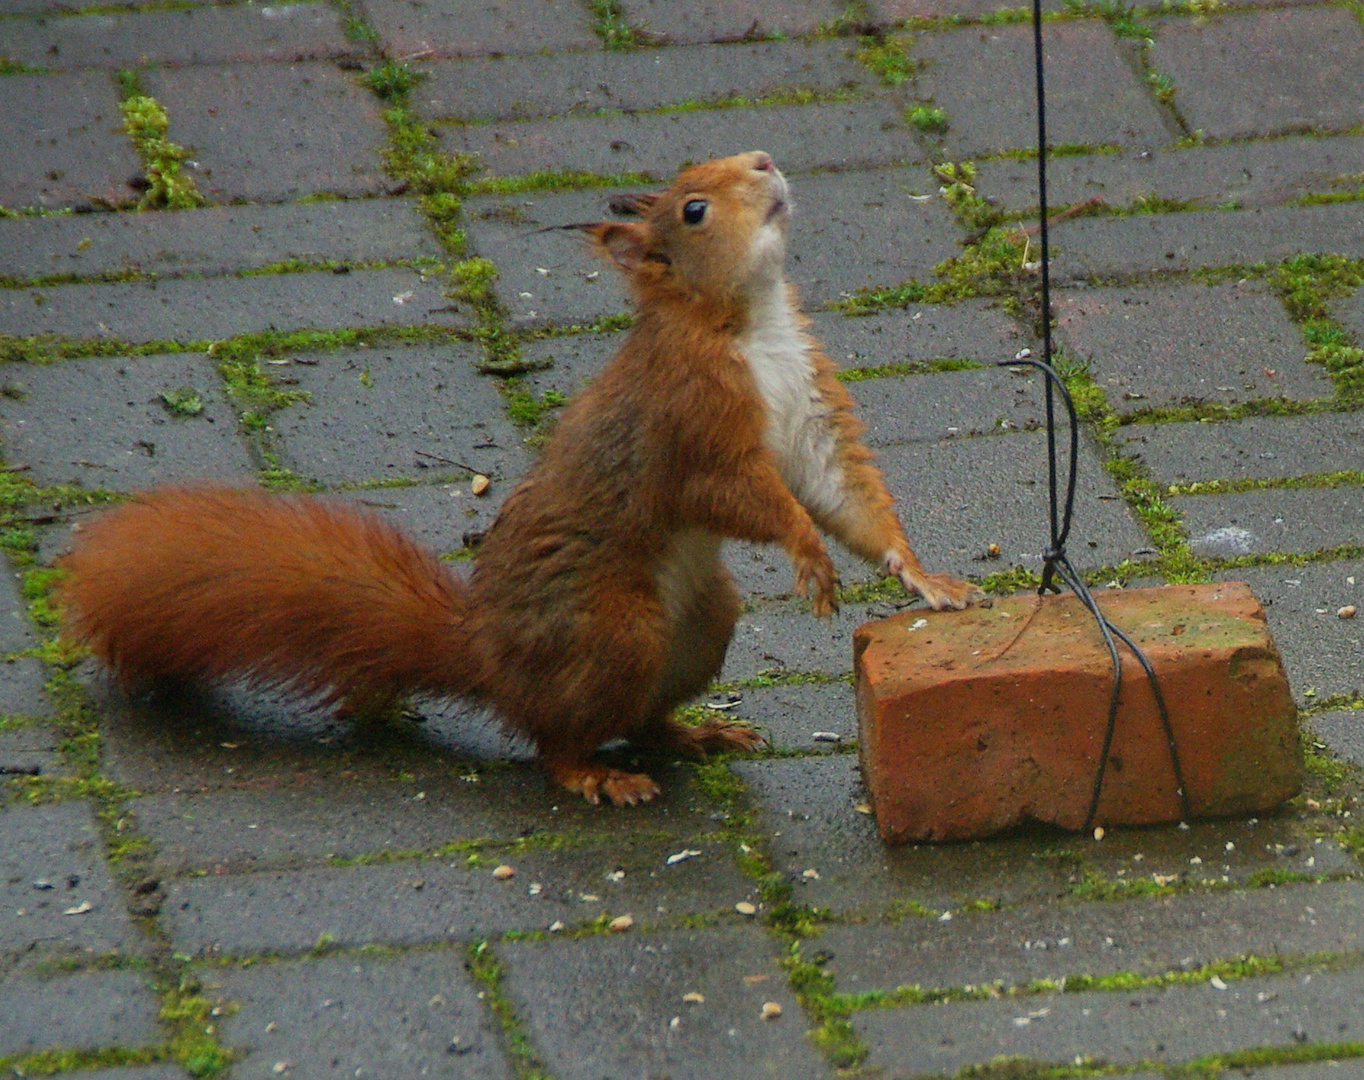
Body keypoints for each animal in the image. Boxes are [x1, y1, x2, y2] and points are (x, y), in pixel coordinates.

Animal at [58, 154, 987, 807]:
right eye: (694, 208)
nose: (763, 161)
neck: (747, 324)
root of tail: (491, 655)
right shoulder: (692, 428)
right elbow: (745, 498)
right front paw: (808, 558)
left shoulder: (812, 415)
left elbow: (846, 497)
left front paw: (927, 579)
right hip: (616, 630)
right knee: (555, 740)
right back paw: (596, 776)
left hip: (702, 623)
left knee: (637, 719)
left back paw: (694, 736)